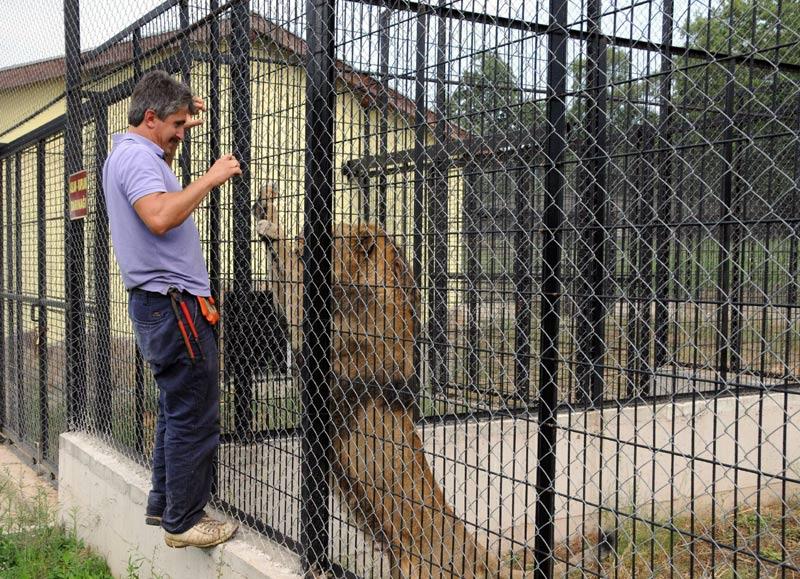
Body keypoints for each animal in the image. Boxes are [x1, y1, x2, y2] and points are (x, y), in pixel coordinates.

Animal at [255, 184, 520, 576]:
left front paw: (272, 225)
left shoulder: (325, 332)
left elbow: (288, 276)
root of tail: (479, 556)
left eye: (329, 235)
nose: (305, 233)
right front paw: (265, 206)